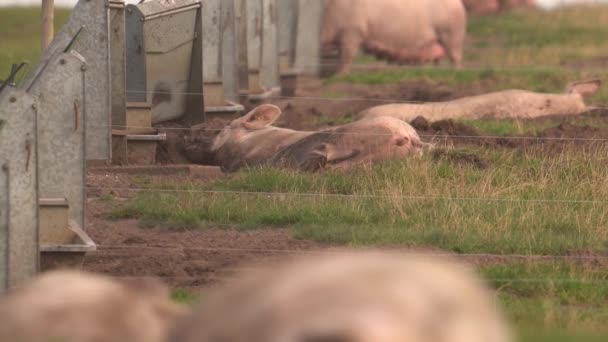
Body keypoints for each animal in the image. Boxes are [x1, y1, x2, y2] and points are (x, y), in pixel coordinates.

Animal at [320, 0, 468, 74]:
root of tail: (459, 4)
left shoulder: (352, 30)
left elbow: (346, 56)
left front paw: (339, 76)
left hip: (451, 32)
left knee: (456, 56)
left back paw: (456, 72)